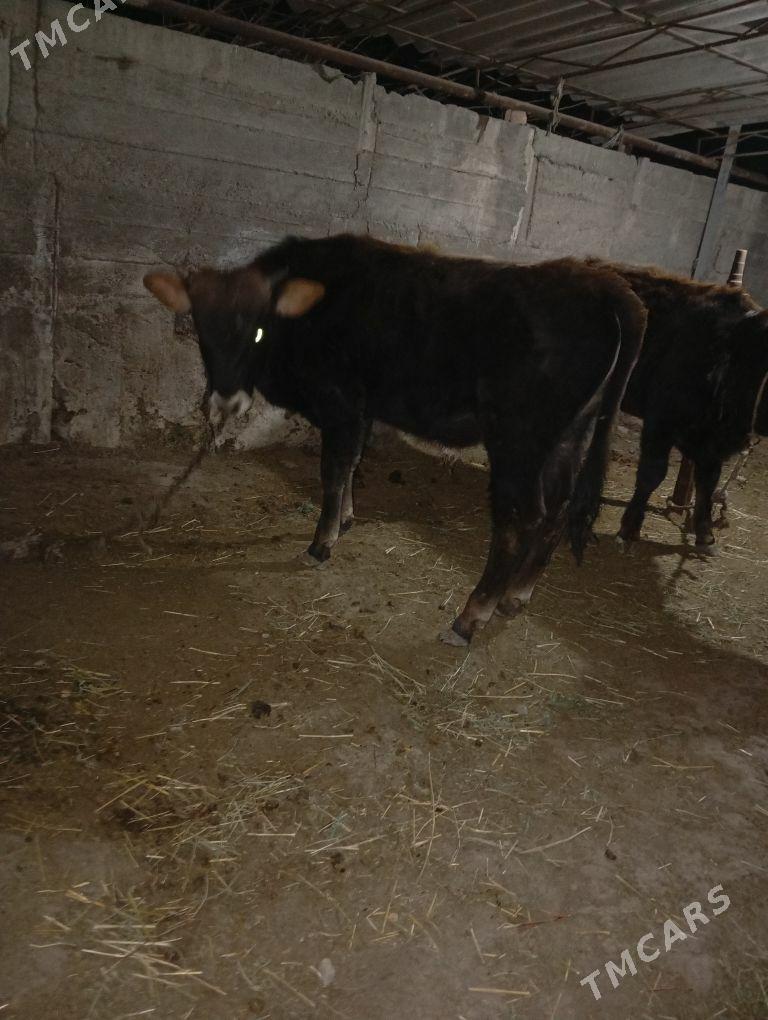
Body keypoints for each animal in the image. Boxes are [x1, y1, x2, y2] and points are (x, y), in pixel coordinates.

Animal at [144, 234, 646, 644]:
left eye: (258, 329)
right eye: (202, 331)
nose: (225, 400)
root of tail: (603, 283)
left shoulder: (340, 401)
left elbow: (332, 470)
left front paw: (321, 544)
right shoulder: (361, 409)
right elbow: (351, 464)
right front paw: (346, 519)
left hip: (518, 440)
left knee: (519, 520)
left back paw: (470, 617)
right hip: (570, 435)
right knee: (558, 510)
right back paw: (516, 596)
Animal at [588, 261, 768, 549]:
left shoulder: (712, 443)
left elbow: (708, 482)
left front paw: (705, 533)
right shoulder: (660, 422)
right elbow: (652, 474)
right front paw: (628, 529)